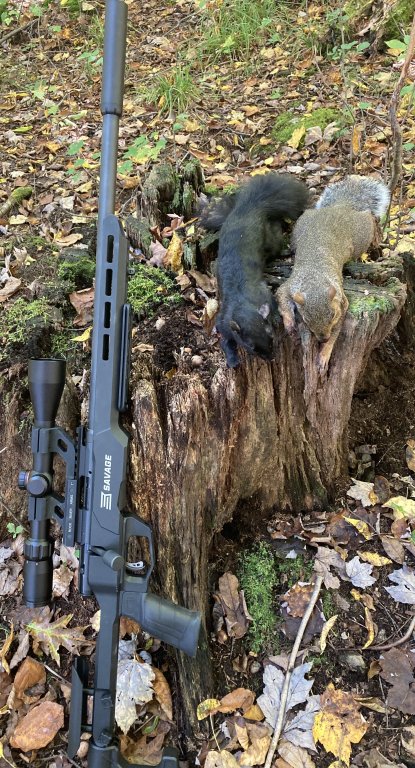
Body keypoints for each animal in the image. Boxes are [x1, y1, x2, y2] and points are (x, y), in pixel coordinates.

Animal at [199, 172, 310, 367]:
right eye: (251, 347)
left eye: (271, 336)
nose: (270, 358)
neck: (244, 303)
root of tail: (249, 208)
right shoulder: (224, 323)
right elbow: (225, 342)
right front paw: (233, 360)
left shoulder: (262, 291)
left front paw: (275, 316)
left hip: (271, 242)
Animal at [276, 174, 390, 373]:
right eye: (305, 318)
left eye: (333, 315)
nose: (323, 338)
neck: (315, 278)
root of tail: (341, 207)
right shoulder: (290, 286)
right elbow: (281, 298)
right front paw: (289, 323)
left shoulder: (343, 304)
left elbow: (337, 332)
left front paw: (325, 353)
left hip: (362, 234)